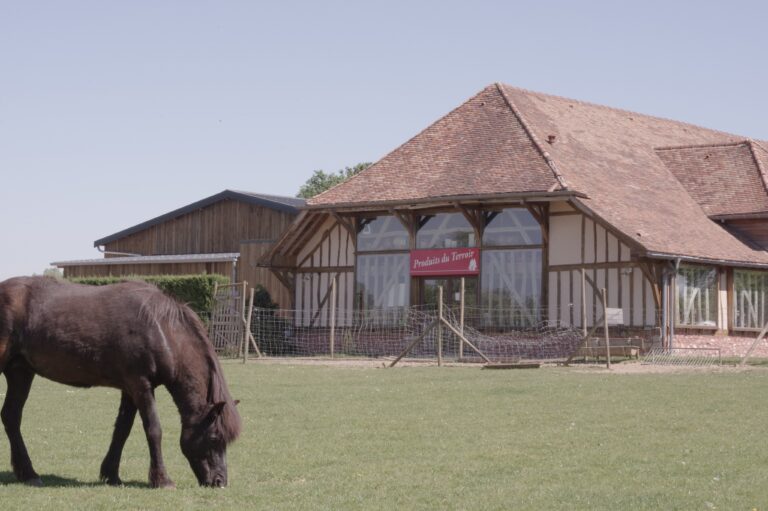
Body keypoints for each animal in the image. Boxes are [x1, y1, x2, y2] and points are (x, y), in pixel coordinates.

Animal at [0, 276, 240, 488]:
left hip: (20, 372)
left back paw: (29, 473)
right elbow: (154, 429)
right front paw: (162, 480)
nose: (220, 482)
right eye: (214, 437)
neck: (161, 328)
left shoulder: (130, 389)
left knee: (11, 416)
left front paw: (111, 474)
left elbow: (122, 430)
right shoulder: (141, 385)